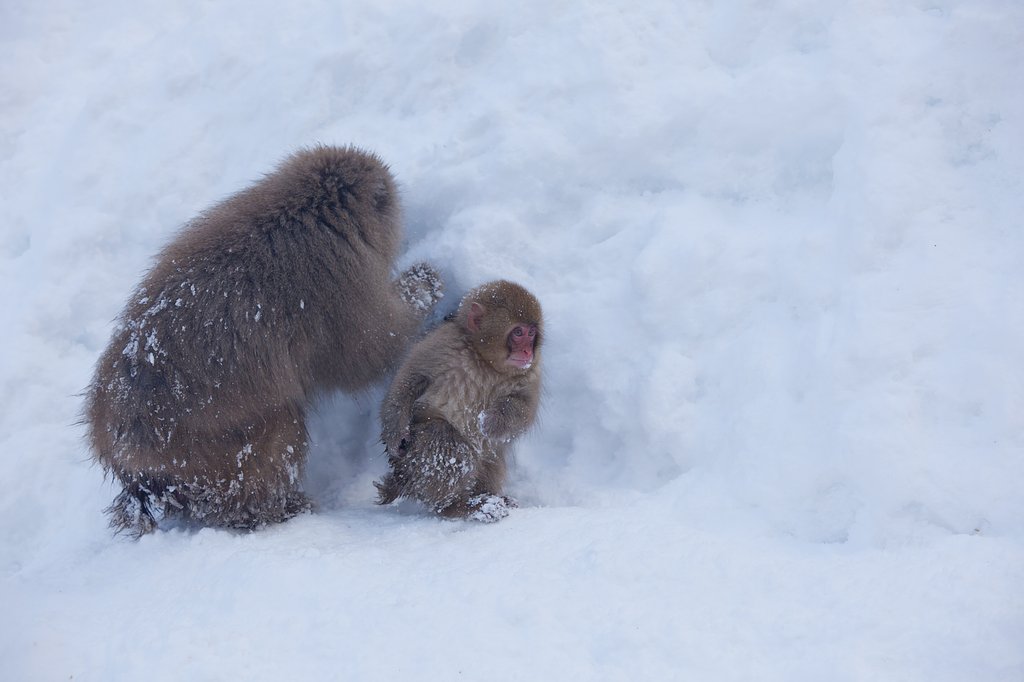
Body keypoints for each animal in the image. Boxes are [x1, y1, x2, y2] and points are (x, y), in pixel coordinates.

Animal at [84, 145, 444, 537]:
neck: (309, 212)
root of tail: (120, 454)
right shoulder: (340, 279)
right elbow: (371, 350)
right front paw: (425, 282)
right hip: (208, 447)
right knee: (273, 442)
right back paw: (274, 510)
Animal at [375, 280, 542, 522]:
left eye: (532, 333)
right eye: (518, 332)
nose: (528, 351)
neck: (485, 362)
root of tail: (402, 478)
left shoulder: (530, 373)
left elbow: (524, 409)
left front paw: (492, 422)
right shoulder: (442, 344)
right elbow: (409, 380)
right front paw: (395, 435)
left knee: (492, 456)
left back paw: (486, 499)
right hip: (413, 459)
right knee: (444, 438)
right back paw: (457, 506)